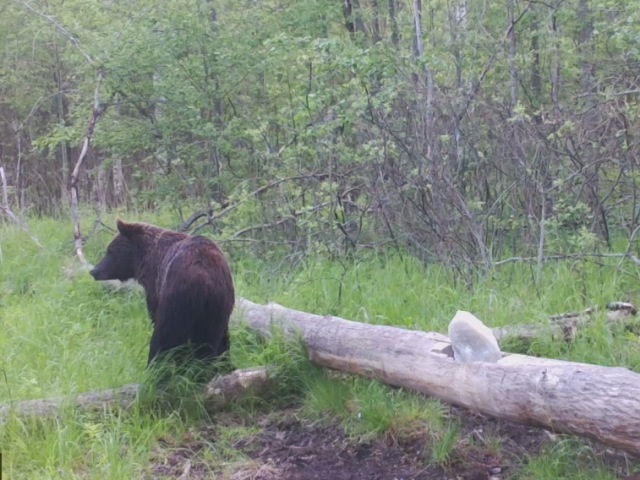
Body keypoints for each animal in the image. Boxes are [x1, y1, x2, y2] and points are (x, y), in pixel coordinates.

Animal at [90, 219, 235, 369]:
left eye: (110, 251)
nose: (94, 271)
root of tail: (204, 278)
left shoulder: (156, 286)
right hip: (218, 307)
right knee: (214, 340)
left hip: (177, 299)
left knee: (165, 336)